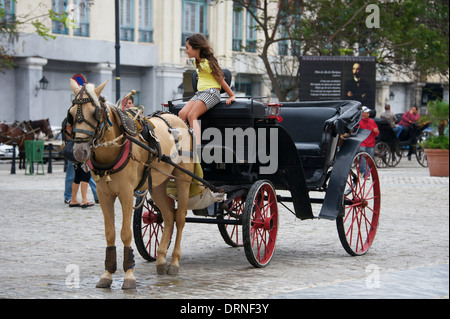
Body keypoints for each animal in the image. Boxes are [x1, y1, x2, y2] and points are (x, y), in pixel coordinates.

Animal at [68, 80, 193, 290]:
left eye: (95, 112)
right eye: (70, 114)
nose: (79, 152)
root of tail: (179, 121)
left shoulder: (126, 193)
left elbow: (125, 233)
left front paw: (129, 275)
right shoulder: (104, 195)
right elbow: (109, 233)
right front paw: (107, 274)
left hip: (183, 180)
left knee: (180, 218)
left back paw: (174, 262)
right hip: (158, 185)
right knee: (168, 216)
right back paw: (161, 260)